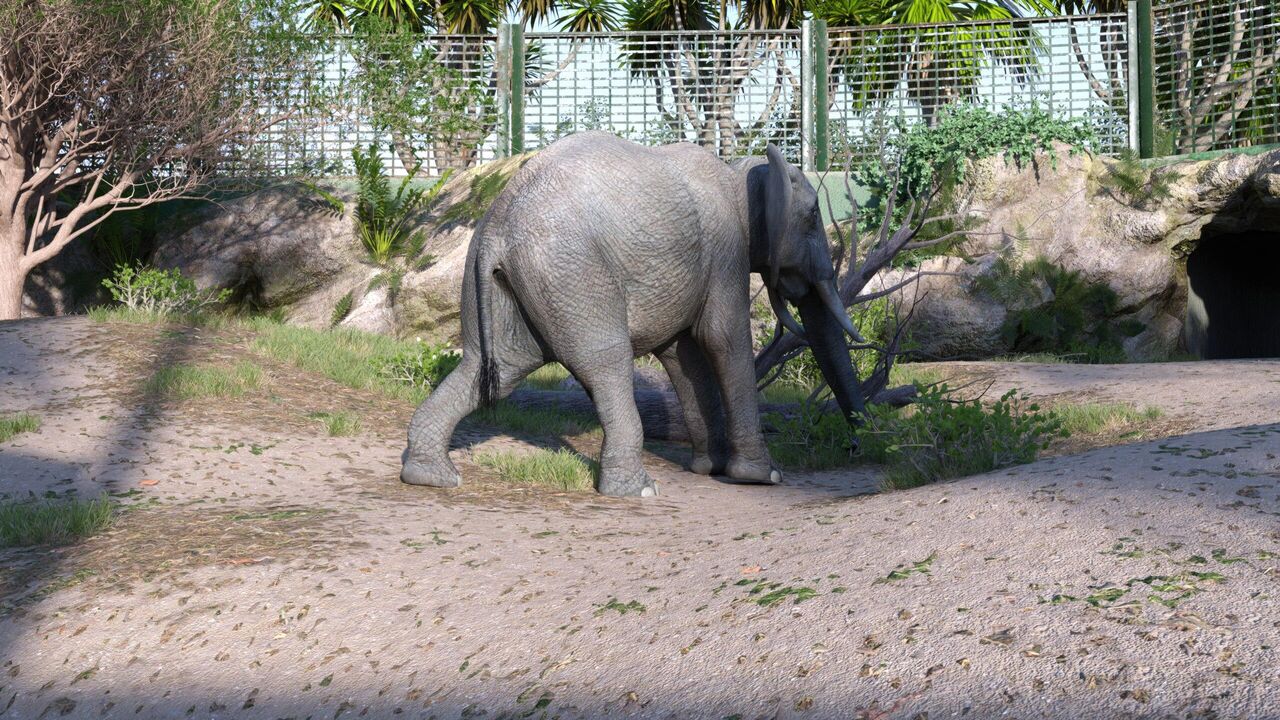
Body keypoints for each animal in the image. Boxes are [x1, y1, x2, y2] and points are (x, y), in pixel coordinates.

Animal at [401, 131, 866, 497]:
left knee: (495, 366)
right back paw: (637, 490)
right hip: (571, 272)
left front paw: (709, 469)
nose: (859, 443)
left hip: (512, 277)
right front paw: (761, 477)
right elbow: (723, 338)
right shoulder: (725, 249)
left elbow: (683, 355)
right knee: (606, 361)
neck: (742, 173)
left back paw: (432, 477)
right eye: (812, 217)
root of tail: (497, 225)